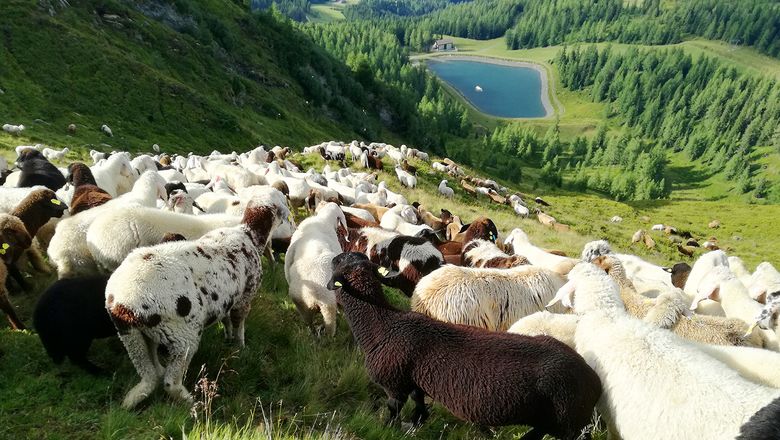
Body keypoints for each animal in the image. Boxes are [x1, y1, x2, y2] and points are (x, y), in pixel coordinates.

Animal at [104, 199, 286, 410]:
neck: (249, 234)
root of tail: (123, 305)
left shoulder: (226, 298)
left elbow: (226, 320)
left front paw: (228, 337)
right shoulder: (244, 297)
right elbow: (239, 323)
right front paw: (240, 346)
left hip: (134, 334)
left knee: (150, 372)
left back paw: (133, 398)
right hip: (182, 336)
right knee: (170, 382)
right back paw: (193, 403)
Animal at [284, 203, 348, 336]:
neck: (323, 219)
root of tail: (311, 294)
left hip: (302, 307)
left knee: (310, 324)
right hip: (328, 306)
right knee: (330, 331)